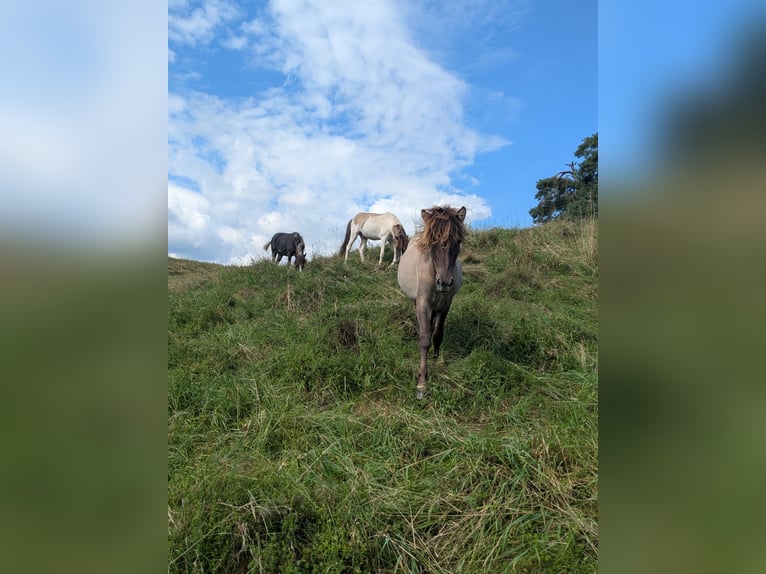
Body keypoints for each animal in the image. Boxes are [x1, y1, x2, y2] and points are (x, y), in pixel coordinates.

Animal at [397, 206, 467, 399]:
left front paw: (435, 361)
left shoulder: (446, 304)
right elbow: (424, 339)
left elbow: (437, 335)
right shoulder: (423, 303)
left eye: (458, 241)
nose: (444, 282)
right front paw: (422, 383)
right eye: (432, 242)